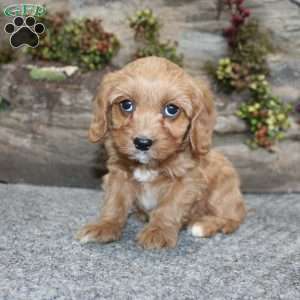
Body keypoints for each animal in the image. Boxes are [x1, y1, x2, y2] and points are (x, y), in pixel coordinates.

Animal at [77, 55, 246, 248]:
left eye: (171, 109)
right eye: (126, 105)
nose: (142, 142)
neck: (148, 166)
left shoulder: (186, 180)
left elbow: (169, 207)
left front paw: (157, 231)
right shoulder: (118, 173)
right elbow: (114, 202)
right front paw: (105, 226)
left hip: (223, 187)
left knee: (233, 218)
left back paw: (204, 225)